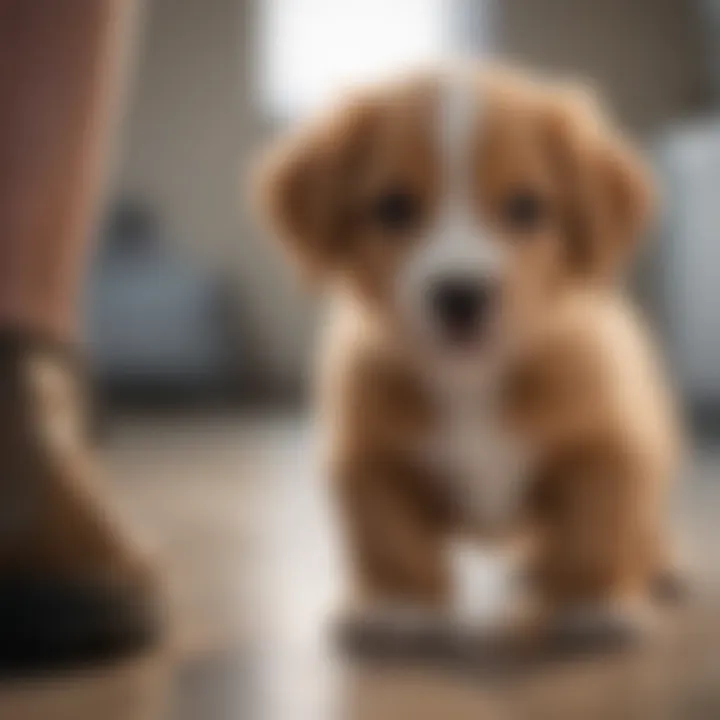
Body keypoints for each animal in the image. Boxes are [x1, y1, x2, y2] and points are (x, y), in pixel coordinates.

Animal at [253, 64, 680, 648]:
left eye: (526, 207)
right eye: (393, 206)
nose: (461, 295)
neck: (470, 379)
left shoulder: (607, 449)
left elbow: (594, 533)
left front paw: (595, 602)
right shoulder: (370, 458)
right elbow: (390, 540)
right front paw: (398, 605)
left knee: (641, 529)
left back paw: (656, 569)